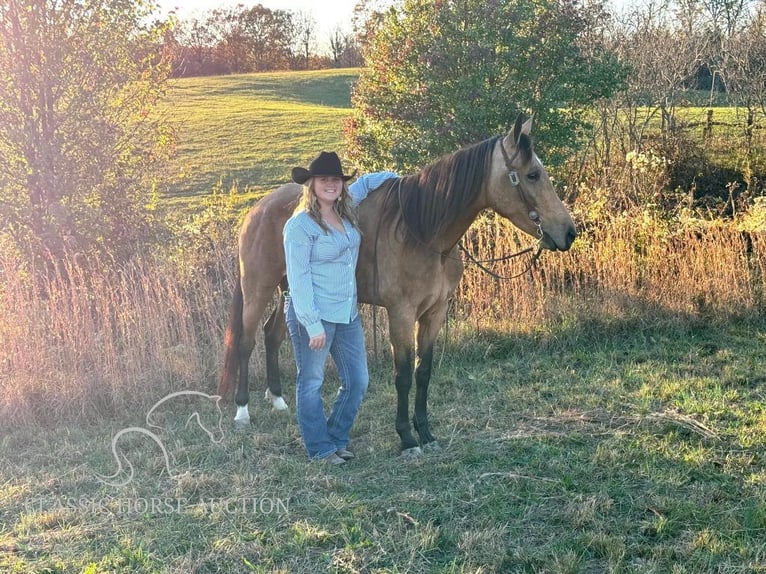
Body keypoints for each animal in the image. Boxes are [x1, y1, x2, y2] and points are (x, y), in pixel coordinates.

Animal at [216, 116, 576, 460]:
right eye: (532, 175)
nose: (569, 232)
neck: (423, 232)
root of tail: (257, 210)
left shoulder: (435, 312)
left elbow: (423, 372)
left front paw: (427, 433)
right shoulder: (401, 313)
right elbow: (402, 375)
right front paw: (407, 438)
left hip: (290, 291)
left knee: (272, 334)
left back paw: (278, 400)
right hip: (258, 288)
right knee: (247, 342)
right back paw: (242, 411)